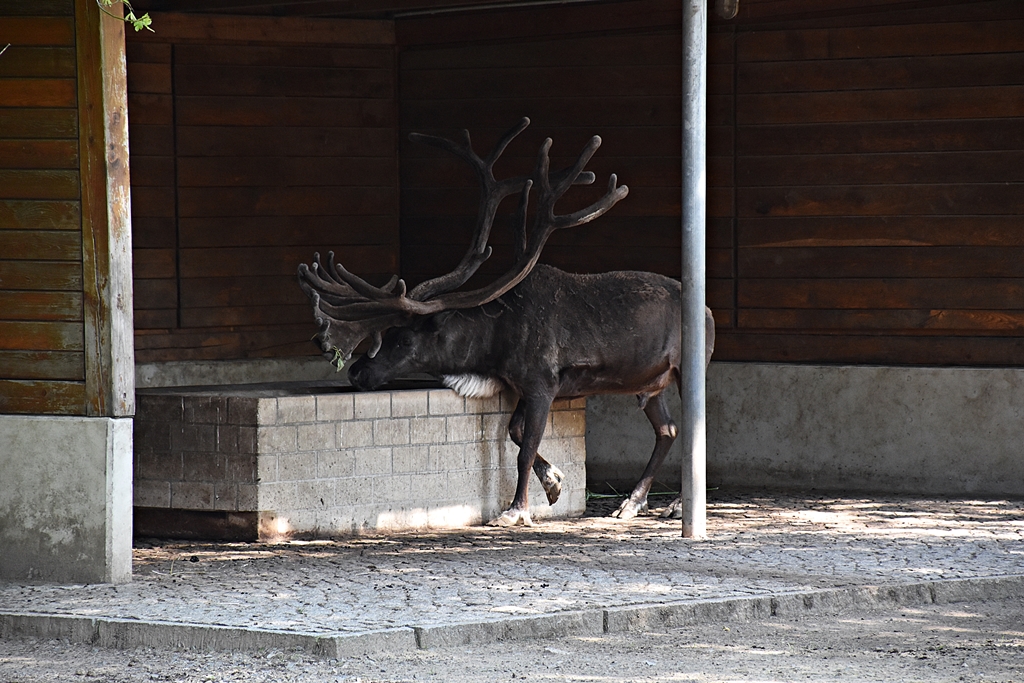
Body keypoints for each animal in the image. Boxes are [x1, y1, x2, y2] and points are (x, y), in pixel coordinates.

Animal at [297, 118, 714, 527]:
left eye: (403, 339)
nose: (357, 372)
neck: (496, 342)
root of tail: (708, 312)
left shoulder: (543, 382)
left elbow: (525, 448)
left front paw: (517, 509)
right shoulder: (521, 385)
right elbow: (515, 432)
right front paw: (554, 482)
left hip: (688, 367)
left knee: (694, 427)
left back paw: (677, 505)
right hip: (652, 380)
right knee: (668, 429)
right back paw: (632, 502)